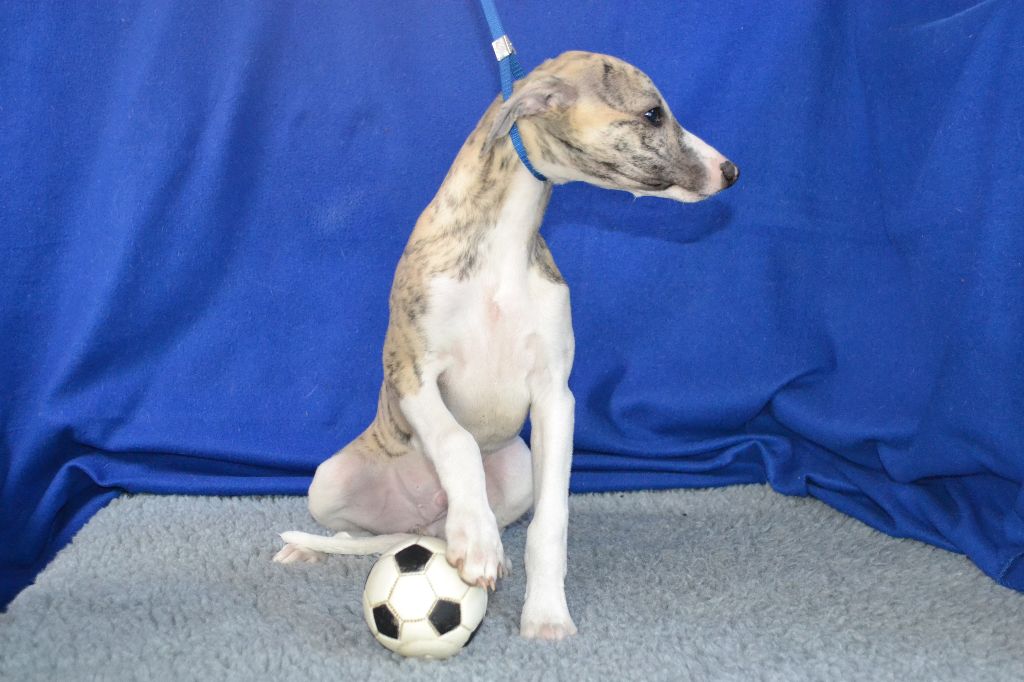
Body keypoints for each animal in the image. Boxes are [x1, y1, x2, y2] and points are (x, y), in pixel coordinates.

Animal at [274, 50, 738, 640]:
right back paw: (327, 548)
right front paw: (476, 539)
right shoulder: (412, 374)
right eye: (653, 113)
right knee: (354, 533)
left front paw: (545, 613)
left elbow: (551, 522)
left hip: (518, 471)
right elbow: (456, 441)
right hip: (328, 482)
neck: (501, 245)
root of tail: (423, 522)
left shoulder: (555, 396)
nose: (732, 171)